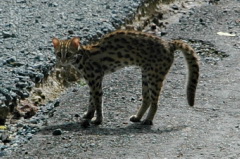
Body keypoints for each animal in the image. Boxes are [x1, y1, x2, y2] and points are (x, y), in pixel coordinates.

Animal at [52, 29, 199, 126]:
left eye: (68, 54)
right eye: (59, 54)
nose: (63, 61)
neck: (82, 57)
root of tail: (169, 44)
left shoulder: (95, 80)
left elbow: (97, 102)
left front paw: (97, 120)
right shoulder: (92, 82)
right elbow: (91, 101)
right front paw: (88, 115)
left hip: (154, 76)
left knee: (155, 101)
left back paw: (148, 120)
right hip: (146, 74)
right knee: (147, 98)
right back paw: (138, 117)